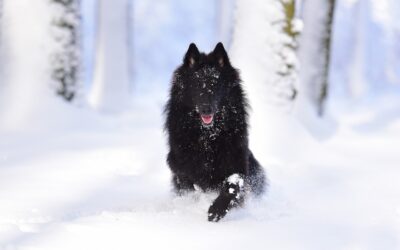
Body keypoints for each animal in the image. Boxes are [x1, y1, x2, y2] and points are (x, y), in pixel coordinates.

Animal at [164, 42, 268, 222]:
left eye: (215, 85)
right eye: (197, 86)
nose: (207, 109)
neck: (208, 136)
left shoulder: (236, 163)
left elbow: (232, 187)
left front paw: (216, 210)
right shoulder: (180, 166)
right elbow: (189, 185)